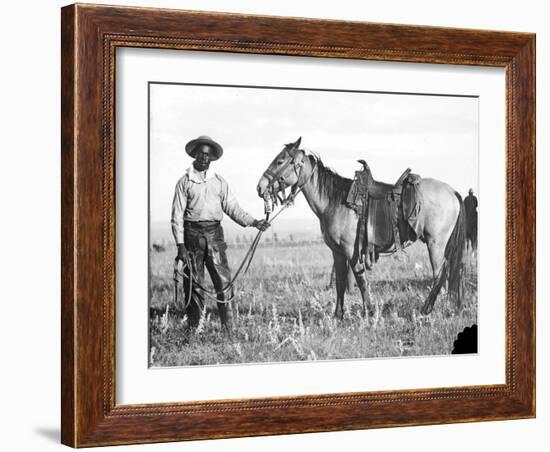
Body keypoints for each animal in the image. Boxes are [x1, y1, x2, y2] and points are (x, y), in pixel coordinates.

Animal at [258, 136, 466, 320]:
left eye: (280, 161)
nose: (260, 188)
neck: (334, 201)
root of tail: (453, 192)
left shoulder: (351, 250)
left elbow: (360, 280)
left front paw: (369, 313)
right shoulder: (337, 252)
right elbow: (340, 282)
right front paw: (338, 316)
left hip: (435, 243)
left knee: (440, 274)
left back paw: (426, 310)